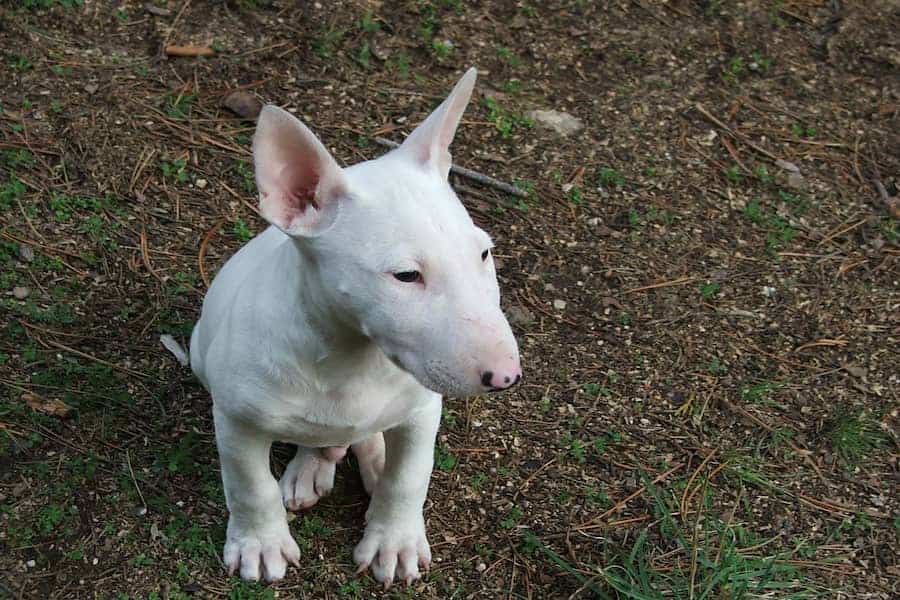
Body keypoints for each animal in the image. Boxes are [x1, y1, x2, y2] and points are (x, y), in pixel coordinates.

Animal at [170, 67, 520, 584]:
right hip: (199, 352)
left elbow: (409, 476)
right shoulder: (236, 420)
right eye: (406, 275)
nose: (505, 376)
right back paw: (311, 468)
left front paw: (394, 541)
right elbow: (249, 484)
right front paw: (260, 544)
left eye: (483, 253)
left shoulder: (423, 409)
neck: (350, 355)